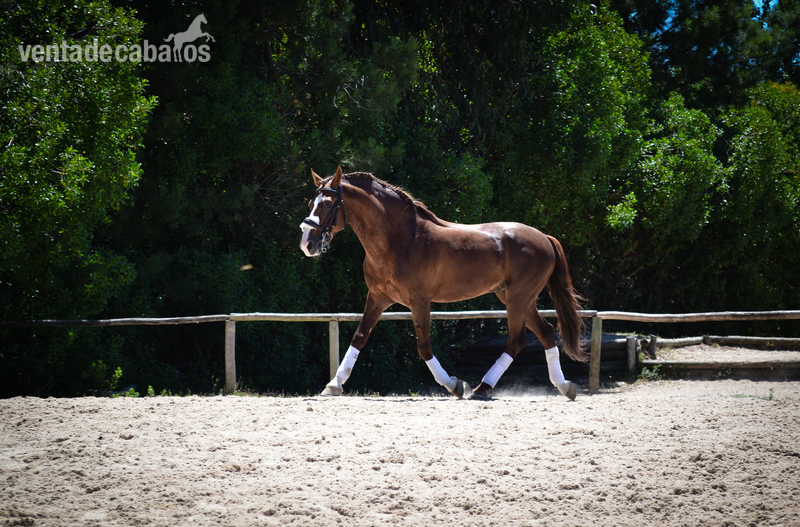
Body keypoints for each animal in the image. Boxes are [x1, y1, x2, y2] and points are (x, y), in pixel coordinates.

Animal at [299, 167, 589, 400]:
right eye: (312, 202)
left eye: (327, 204)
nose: (306, 243)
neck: (400, 239)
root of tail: (544, 237)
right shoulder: (378, 297)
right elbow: (359, 338)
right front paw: (333, 385)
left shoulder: (419, 301)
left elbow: (423, 346)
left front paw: (454, 385)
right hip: (516, 298)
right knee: (546, 333)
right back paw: (565, 387)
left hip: (518, 298)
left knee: (517, 340)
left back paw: (481, 388)